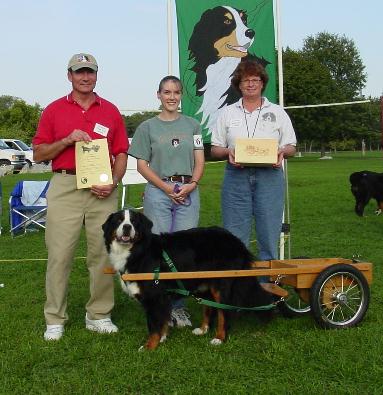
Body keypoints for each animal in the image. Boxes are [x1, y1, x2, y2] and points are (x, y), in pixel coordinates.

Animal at [103, 209, 274, 352]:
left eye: (134, 221)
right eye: (119, 221)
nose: (127, 227)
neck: (138, 251)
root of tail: (236, 241)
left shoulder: (154, 296)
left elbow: (154, 325)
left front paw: (149, 346)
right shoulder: (162, 298)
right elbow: (162, 320)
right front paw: (163, 338)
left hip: (222, 285)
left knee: (223, 312)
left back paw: (219, 338)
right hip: (205, 284)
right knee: (209, 307)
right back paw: (203, 329)